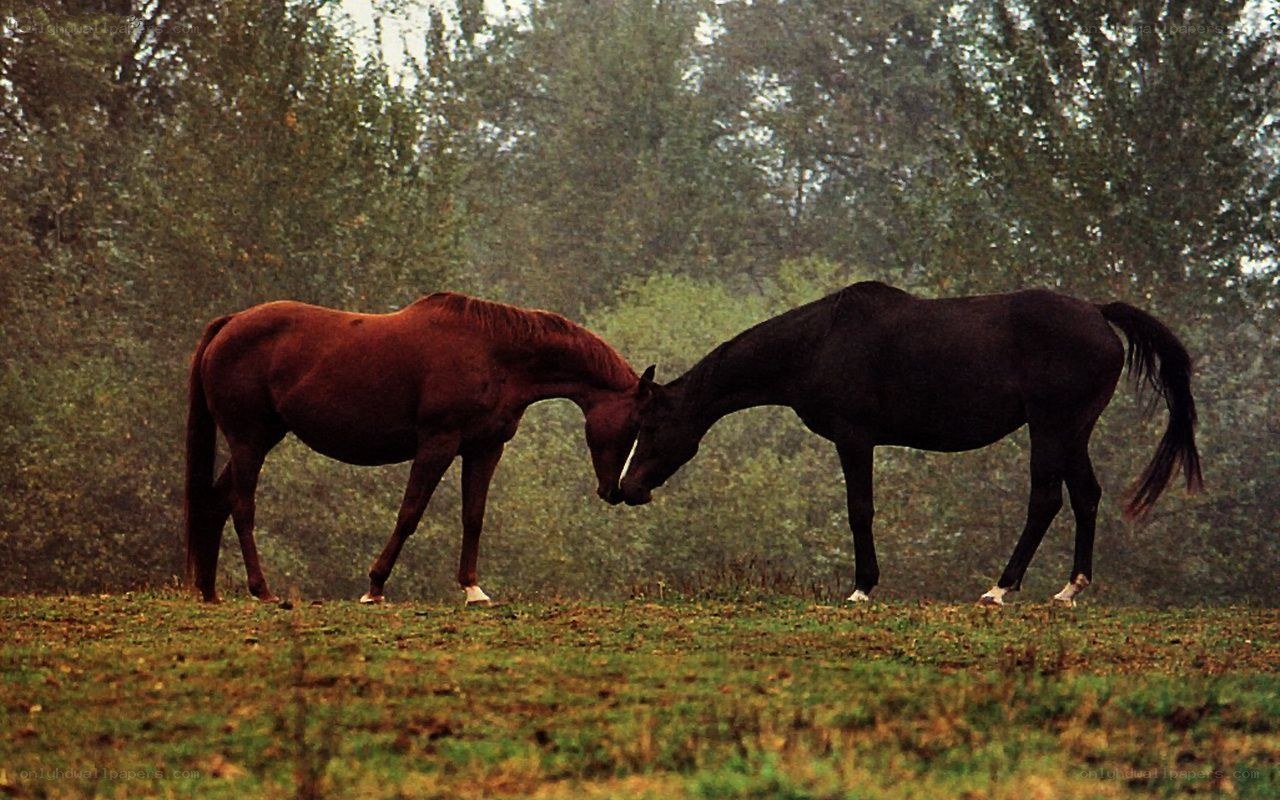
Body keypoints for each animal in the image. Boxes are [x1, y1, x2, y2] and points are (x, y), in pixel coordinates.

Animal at [184, 292, 645, 605]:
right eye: (636, 422)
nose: (624, 491)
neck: (494, 353)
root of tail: (229, 324)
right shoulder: (437, 444)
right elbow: (409, 514)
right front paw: (374, 586)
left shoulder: (485, 448)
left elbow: (473, 517)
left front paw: (472, 589)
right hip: (249, 439)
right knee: (242, 507)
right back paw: (262, 589)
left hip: (260, 438)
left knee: (216, 501)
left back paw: (209, 590)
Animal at [617, 282, 1203, 605]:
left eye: (649, 425)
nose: (624, 487)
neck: (819, 342)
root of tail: (1099, 314)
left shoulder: (854, 438)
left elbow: (859, 510)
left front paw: (862, 587)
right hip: (1074, 430)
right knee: (1085, 496)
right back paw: (1070, 589)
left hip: (1052, 426)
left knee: (1045, 499)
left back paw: (1000, 588)